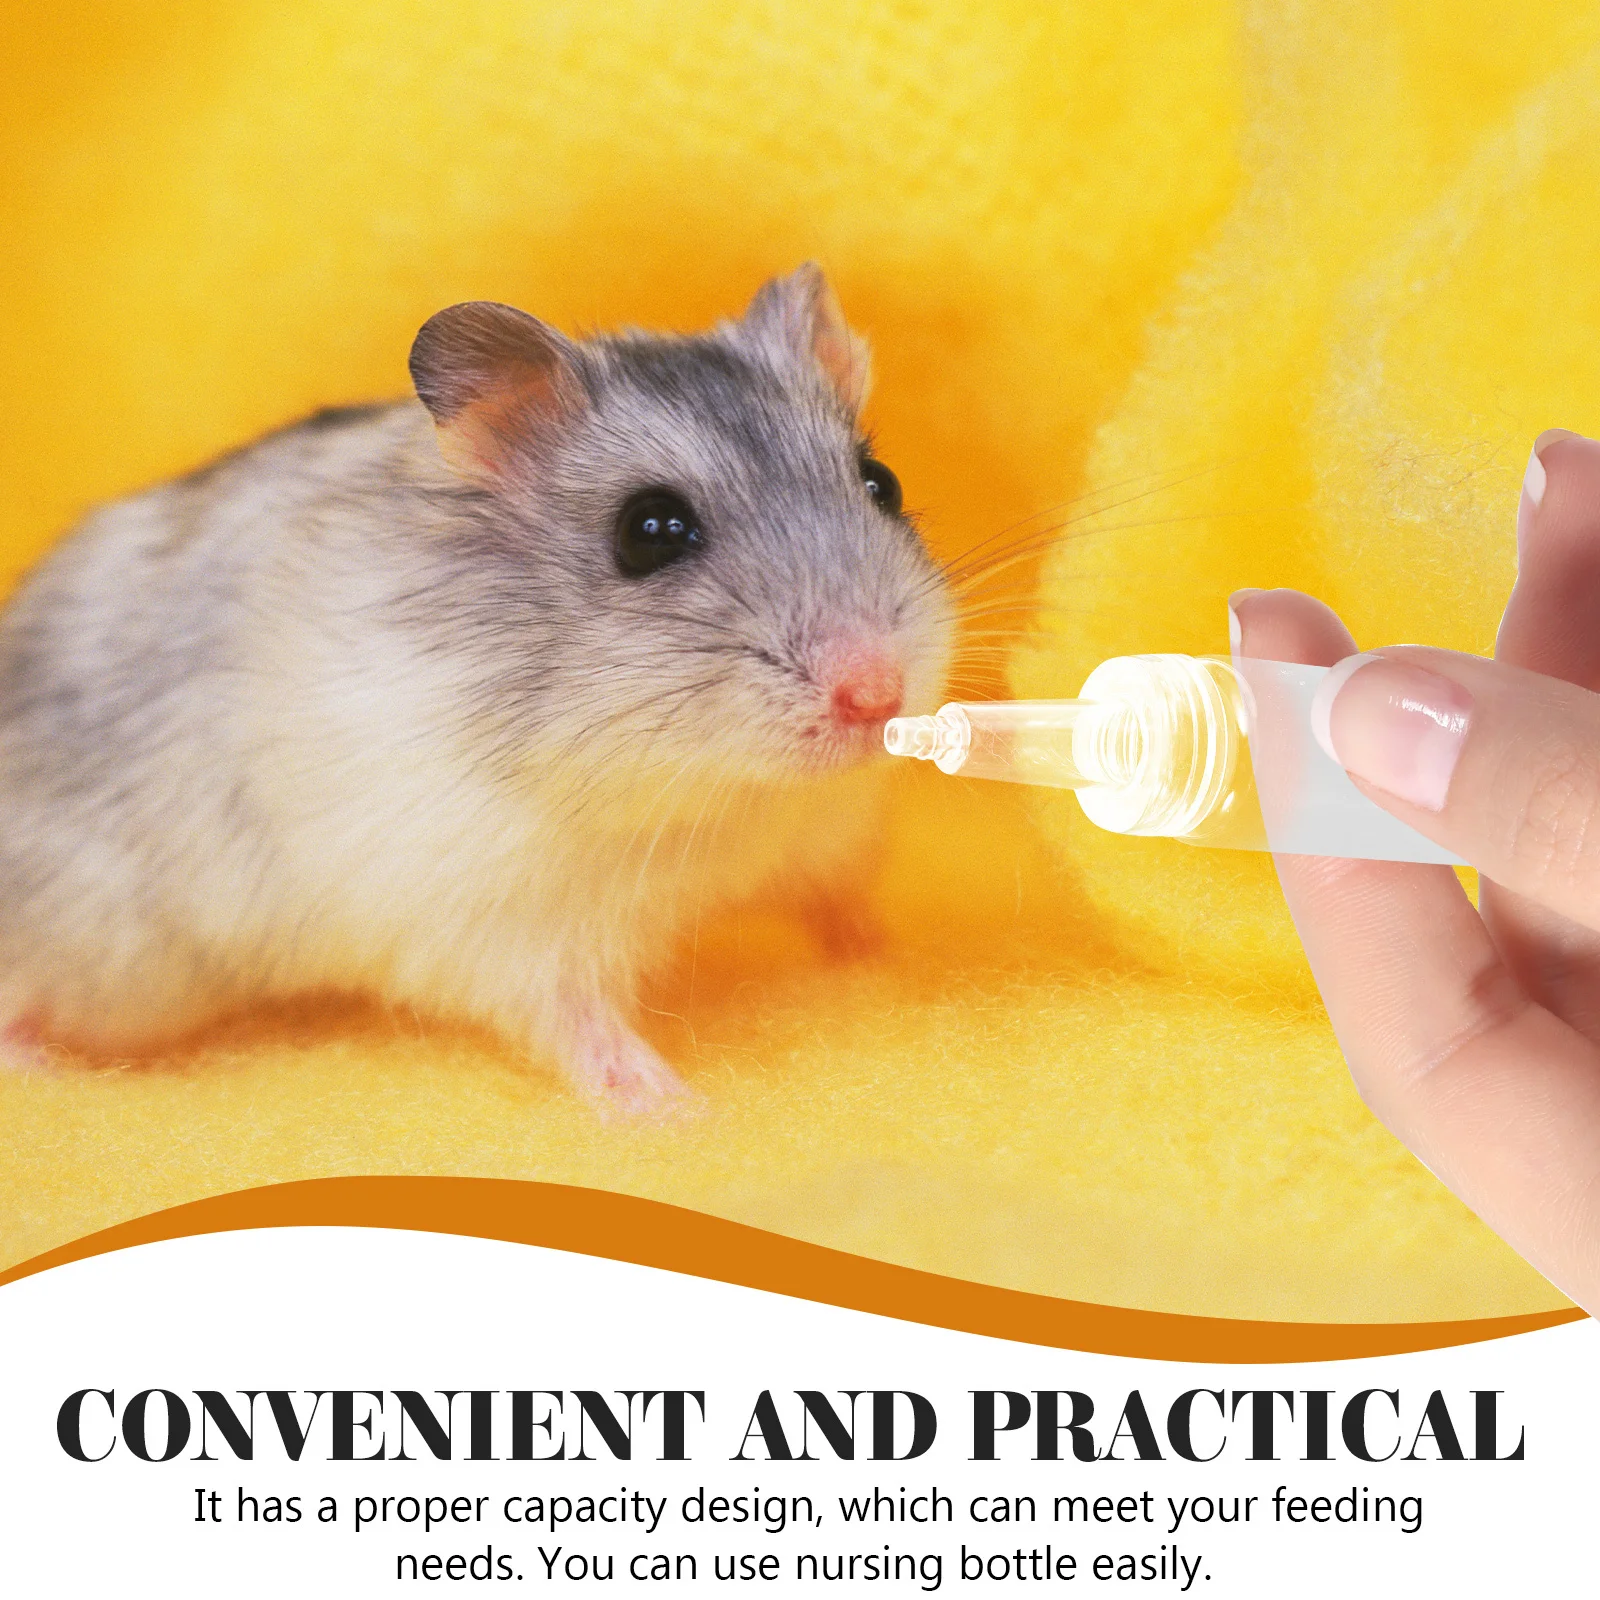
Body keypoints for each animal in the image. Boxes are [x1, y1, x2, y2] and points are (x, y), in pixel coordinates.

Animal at [0, 264, 954, 1112]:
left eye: (883, 483)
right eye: (649, 531)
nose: (876, 696)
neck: (723, 796)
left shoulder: (824, 835)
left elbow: (840, 903)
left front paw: (891, 960)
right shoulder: (502, 922)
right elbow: (577, 1022)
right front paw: (675, 1111)